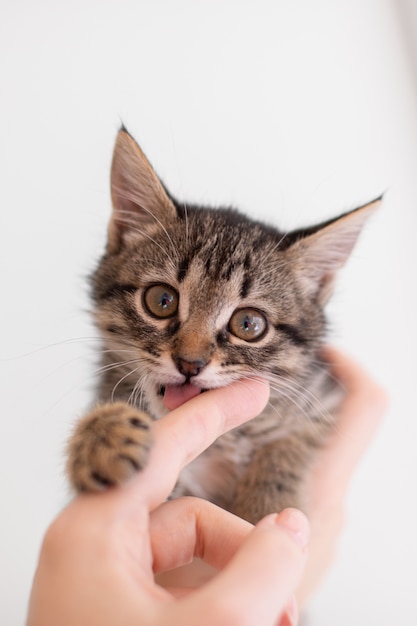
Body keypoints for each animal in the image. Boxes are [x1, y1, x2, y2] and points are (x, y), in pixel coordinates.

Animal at [66, 128, 380, 520]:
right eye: (161, 301)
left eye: (248, 324)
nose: (190, 364)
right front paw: (102, 435)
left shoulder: (323, 397)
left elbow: (291, 441)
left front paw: (267, 506)